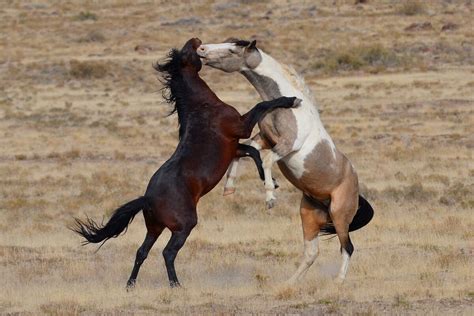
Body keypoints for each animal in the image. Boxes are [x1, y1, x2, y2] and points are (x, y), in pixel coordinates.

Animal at [72, 37, 298, 288]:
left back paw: (131, 285)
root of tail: (147, 199)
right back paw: (175, 285)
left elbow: (253, 153)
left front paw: (271, 183)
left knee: (142, 252)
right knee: (168, 253)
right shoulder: (241, 127)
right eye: (187, 52)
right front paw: (290, 100)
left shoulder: (234, 146)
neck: (202, 108)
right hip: (184, 226)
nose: (195, 40)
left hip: (155, 228)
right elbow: (261, 108)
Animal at [196, 38, 374, 282]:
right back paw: (289, 283)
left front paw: (270, 197)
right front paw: (229, 188)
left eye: (232, 49)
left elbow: (266, 161)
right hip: (309, 216)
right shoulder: (263, 139)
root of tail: (356, 189)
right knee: (311, 252)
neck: (290, 106)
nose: (201, 49)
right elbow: (242, 153)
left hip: (340, 216)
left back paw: (337, 282)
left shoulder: (287, 145)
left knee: (347, 247)